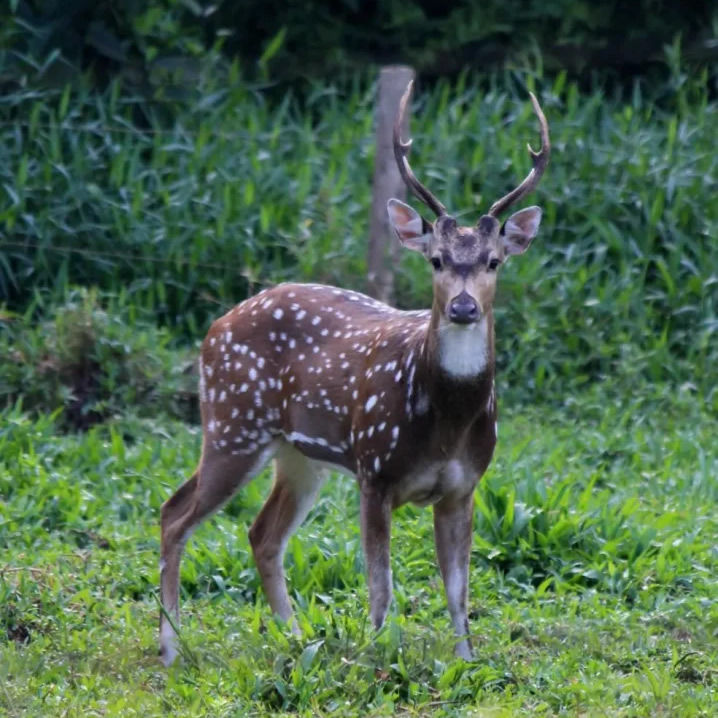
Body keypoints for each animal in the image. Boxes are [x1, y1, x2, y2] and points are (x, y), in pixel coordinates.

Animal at [159, 81, 552, 668]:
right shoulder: (374, 471)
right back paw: (170, 647)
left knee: (261, 533)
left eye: (493, 261)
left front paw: (466, 661)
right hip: (234, 424)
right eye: (436, 259)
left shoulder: (464, 486)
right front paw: (379, 655)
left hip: (298, 454)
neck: (445, 422)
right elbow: (380, 586)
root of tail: (215, 326)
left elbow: (458, 591)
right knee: (175, 513)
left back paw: (294, 638)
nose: (462, 308)